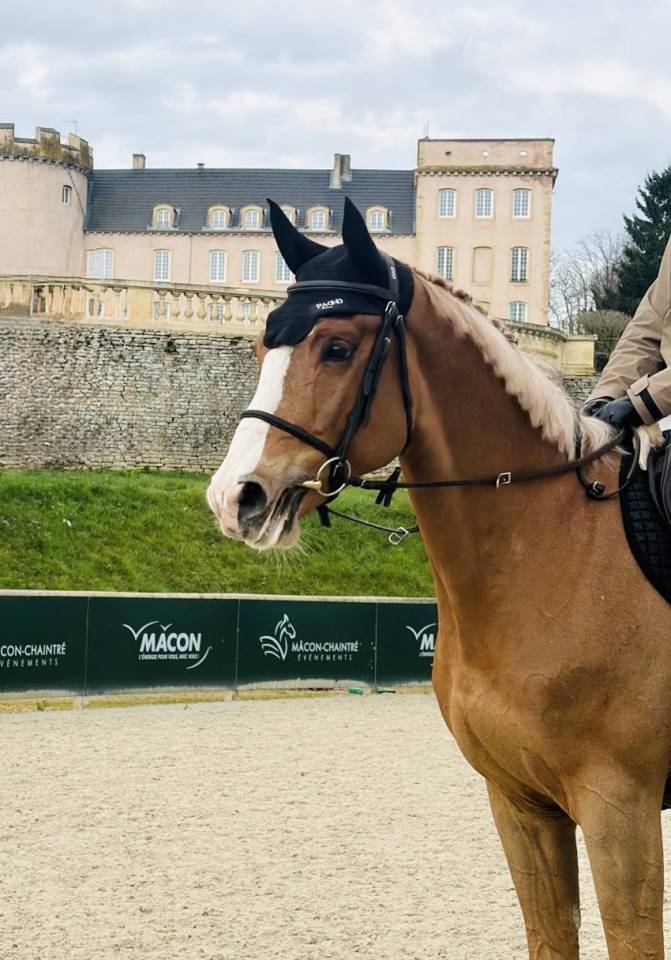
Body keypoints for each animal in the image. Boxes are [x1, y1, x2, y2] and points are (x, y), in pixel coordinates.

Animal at [207, 197, 671, 958]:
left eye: (337, 347)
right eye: (258, 349)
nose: (236, 497)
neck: (554, 552)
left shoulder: (620, 810)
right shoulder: (520, 806)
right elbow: (549, 934)